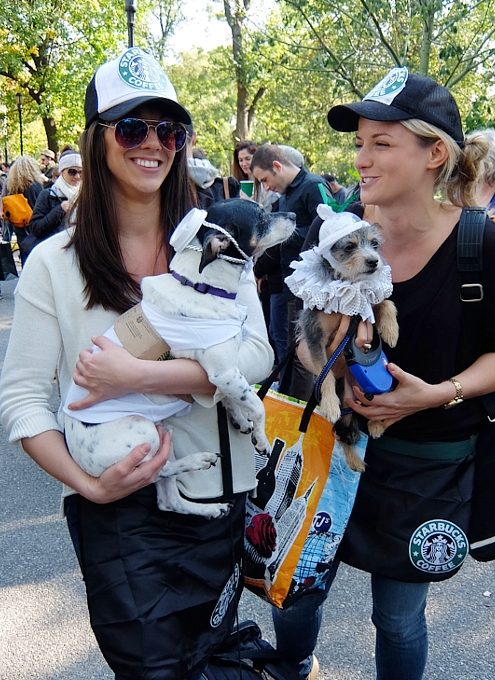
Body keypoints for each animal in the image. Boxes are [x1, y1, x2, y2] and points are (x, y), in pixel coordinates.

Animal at [286, 207, 400, 472]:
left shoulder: (366, 306)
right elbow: (325, 372)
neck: (347, 282)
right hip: (347, 406)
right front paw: (328, 404)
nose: (374, 261)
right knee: (342, 432)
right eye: (349, 247)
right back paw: (354, 459)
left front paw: (391, 331)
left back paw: (376, 423)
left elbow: (386, 303)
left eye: (375, 244)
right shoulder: (314, 336)